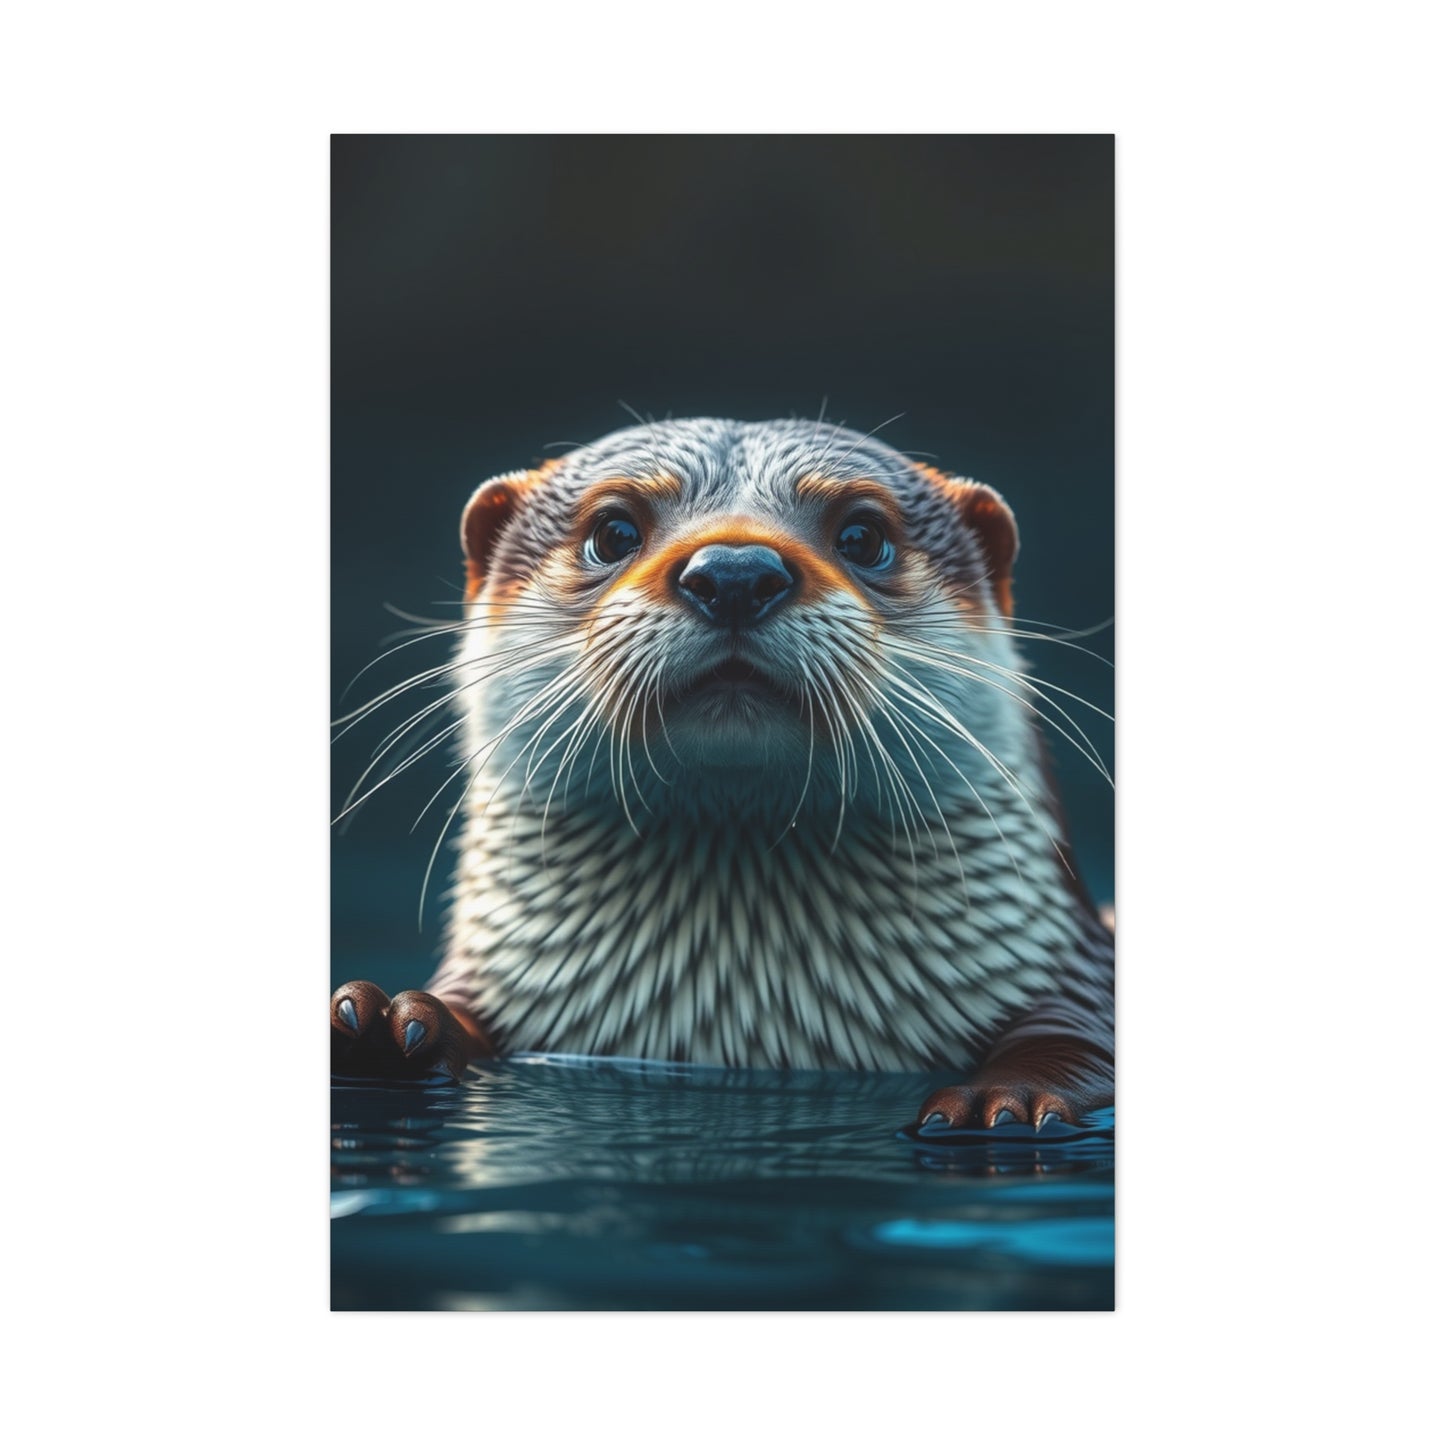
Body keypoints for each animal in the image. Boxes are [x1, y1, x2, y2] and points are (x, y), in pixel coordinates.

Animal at [331, 418, 1113, 1131]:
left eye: (862, 536)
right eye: (613, 531)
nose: (735, 573)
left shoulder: (1074, 976)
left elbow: (1073, 1044)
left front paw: (1003, 1100)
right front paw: (384, 1026)